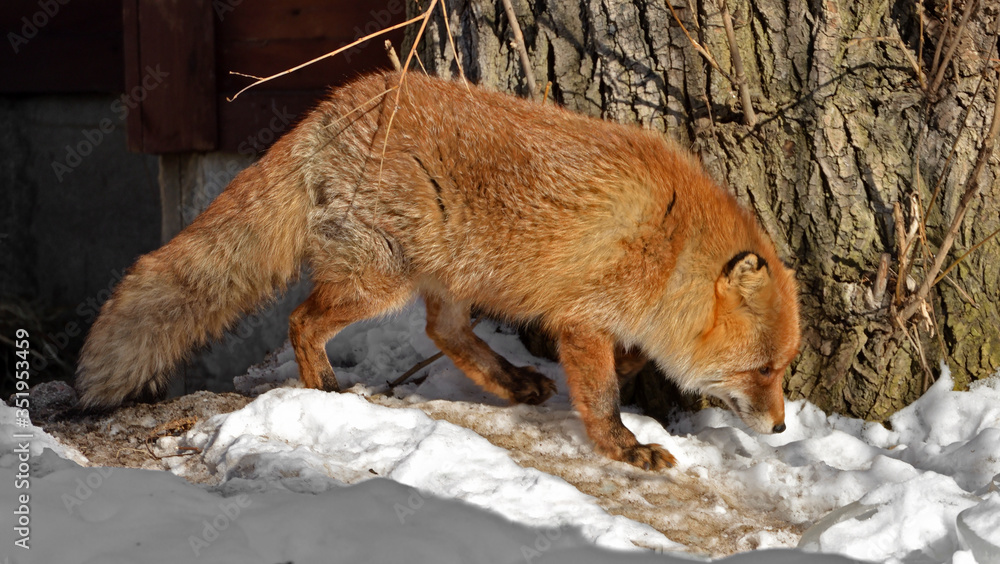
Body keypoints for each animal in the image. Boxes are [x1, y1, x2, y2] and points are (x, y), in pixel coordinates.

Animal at [76, 71, 801, 470]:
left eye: (782, 369)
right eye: (763, 369)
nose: (782, 428)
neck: (670, 243)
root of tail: (339, 101)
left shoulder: (599, 317)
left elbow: (629, 360)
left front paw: (622, 378)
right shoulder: (582, 317)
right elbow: (600, 396)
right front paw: (624, 448)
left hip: (453, 274)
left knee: (441, 331)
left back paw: (512, 382)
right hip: (380, 279)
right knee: (304, 319)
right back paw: (325, 390)